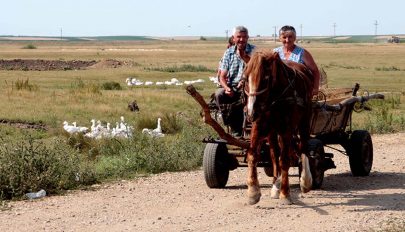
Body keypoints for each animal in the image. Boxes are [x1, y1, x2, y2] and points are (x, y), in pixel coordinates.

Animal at [241, 49, 314, 205]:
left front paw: (285, 193)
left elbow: (285, 160)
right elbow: (252, 154)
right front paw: (253, 192)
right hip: (273, 132)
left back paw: (305, 181)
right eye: (245, 78)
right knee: (274, 154)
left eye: (265, 78)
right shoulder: (259, 125)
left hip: (304, 120)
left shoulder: (287, 129)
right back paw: (276, 185)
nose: (250, 112)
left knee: (303, 146)